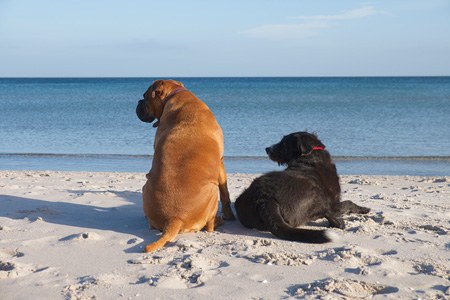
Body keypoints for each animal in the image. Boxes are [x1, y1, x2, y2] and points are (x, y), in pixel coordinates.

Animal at [134, 80, 234, 253]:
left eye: (144, 96)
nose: (138, 102)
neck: (176, 94)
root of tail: (174, 218)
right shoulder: (220, 162)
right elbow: (225, 192)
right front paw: (229, 215)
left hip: (145, 187)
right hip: (212, 191)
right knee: (209, 226)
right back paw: (218, 221)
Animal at [234, 132, 370, 244]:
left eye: (283, 143)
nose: (267, 149)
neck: (309, 157)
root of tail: (264, 199)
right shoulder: (335, 203)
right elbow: (349, 202)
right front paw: (364, 209)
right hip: (315, 192)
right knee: (325, 211)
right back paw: (338, 223)